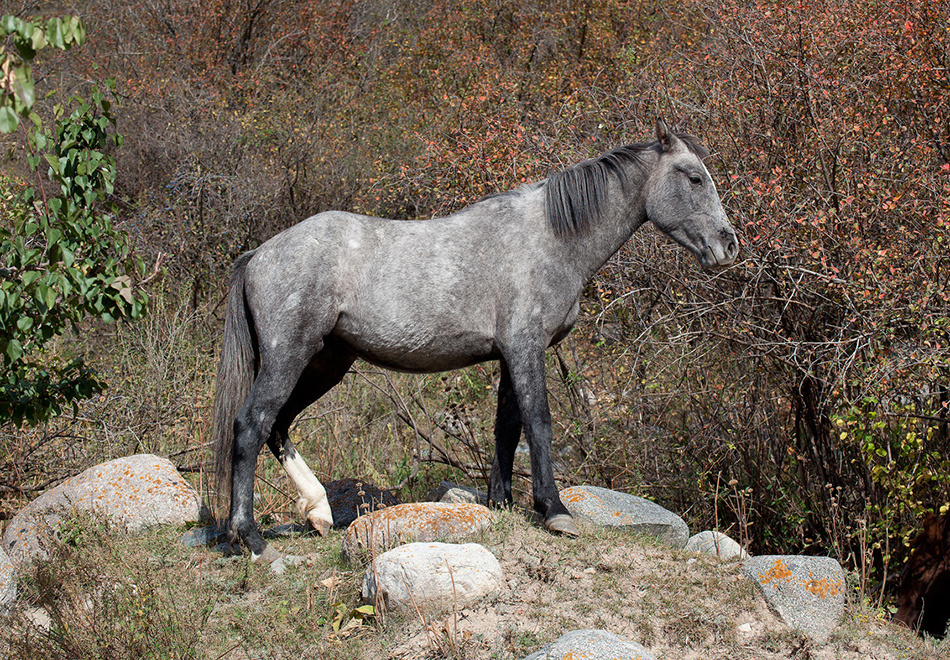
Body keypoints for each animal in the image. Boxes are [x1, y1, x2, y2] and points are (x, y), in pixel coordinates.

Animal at [211, 120, 739, 562]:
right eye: (694, 178)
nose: (728, 244)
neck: (551, 238)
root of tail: (261, 253)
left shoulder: (510, 355)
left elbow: (506, 427)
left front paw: (500, 502)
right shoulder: (526, 349)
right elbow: (539, 423)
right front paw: (554, 511)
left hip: (326, 363)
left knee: (278, 425)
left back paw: (319, 511)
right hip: (291, 356)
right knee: (251, 425)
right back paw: (251, 539)